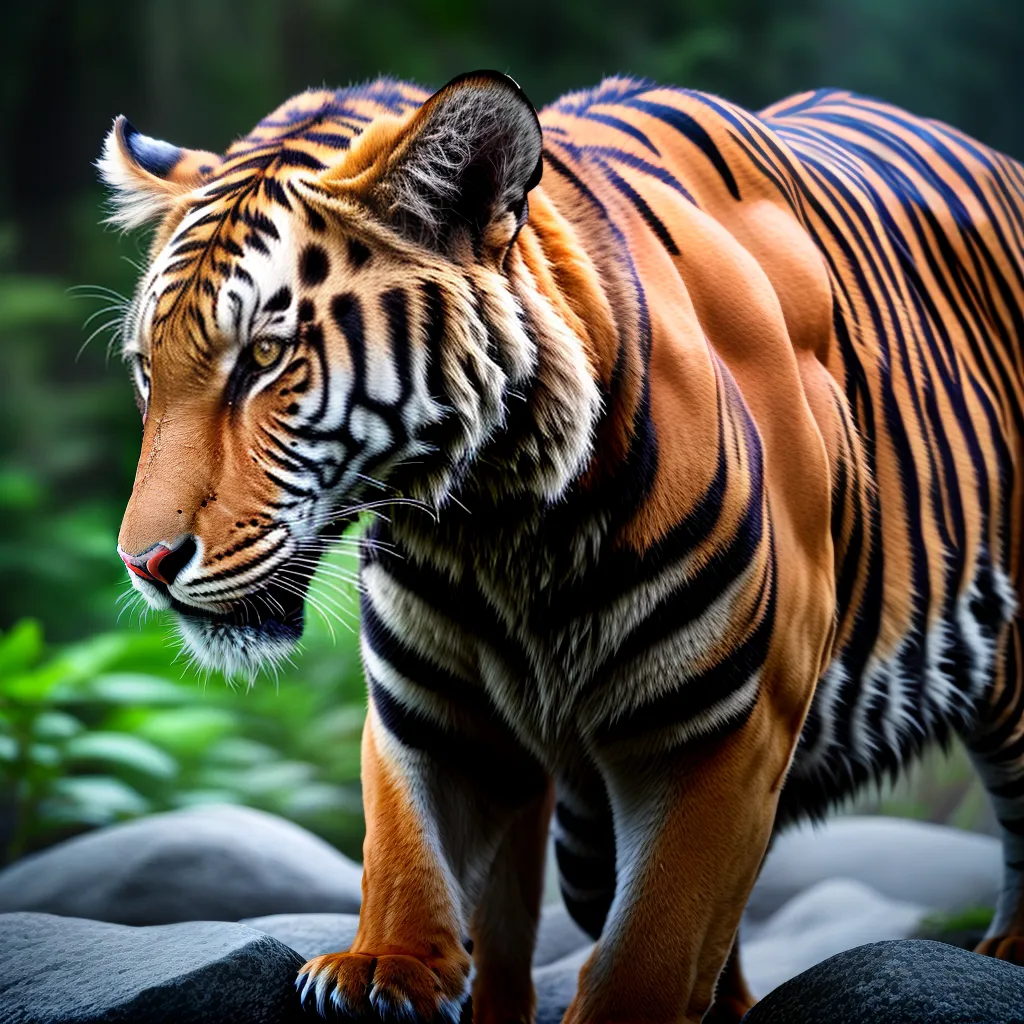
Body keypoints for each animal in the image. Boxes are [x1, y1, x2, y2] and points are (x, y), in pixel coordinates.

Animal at [100, 69, 1024, 1023]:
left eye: (264, 357)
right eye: (147, 368)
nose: (145, 564)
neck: (496, 523)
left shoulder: (727, 729)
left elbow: (655, 942)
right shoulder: (431, 712)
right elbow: (405, 849)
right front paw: (382, 970)